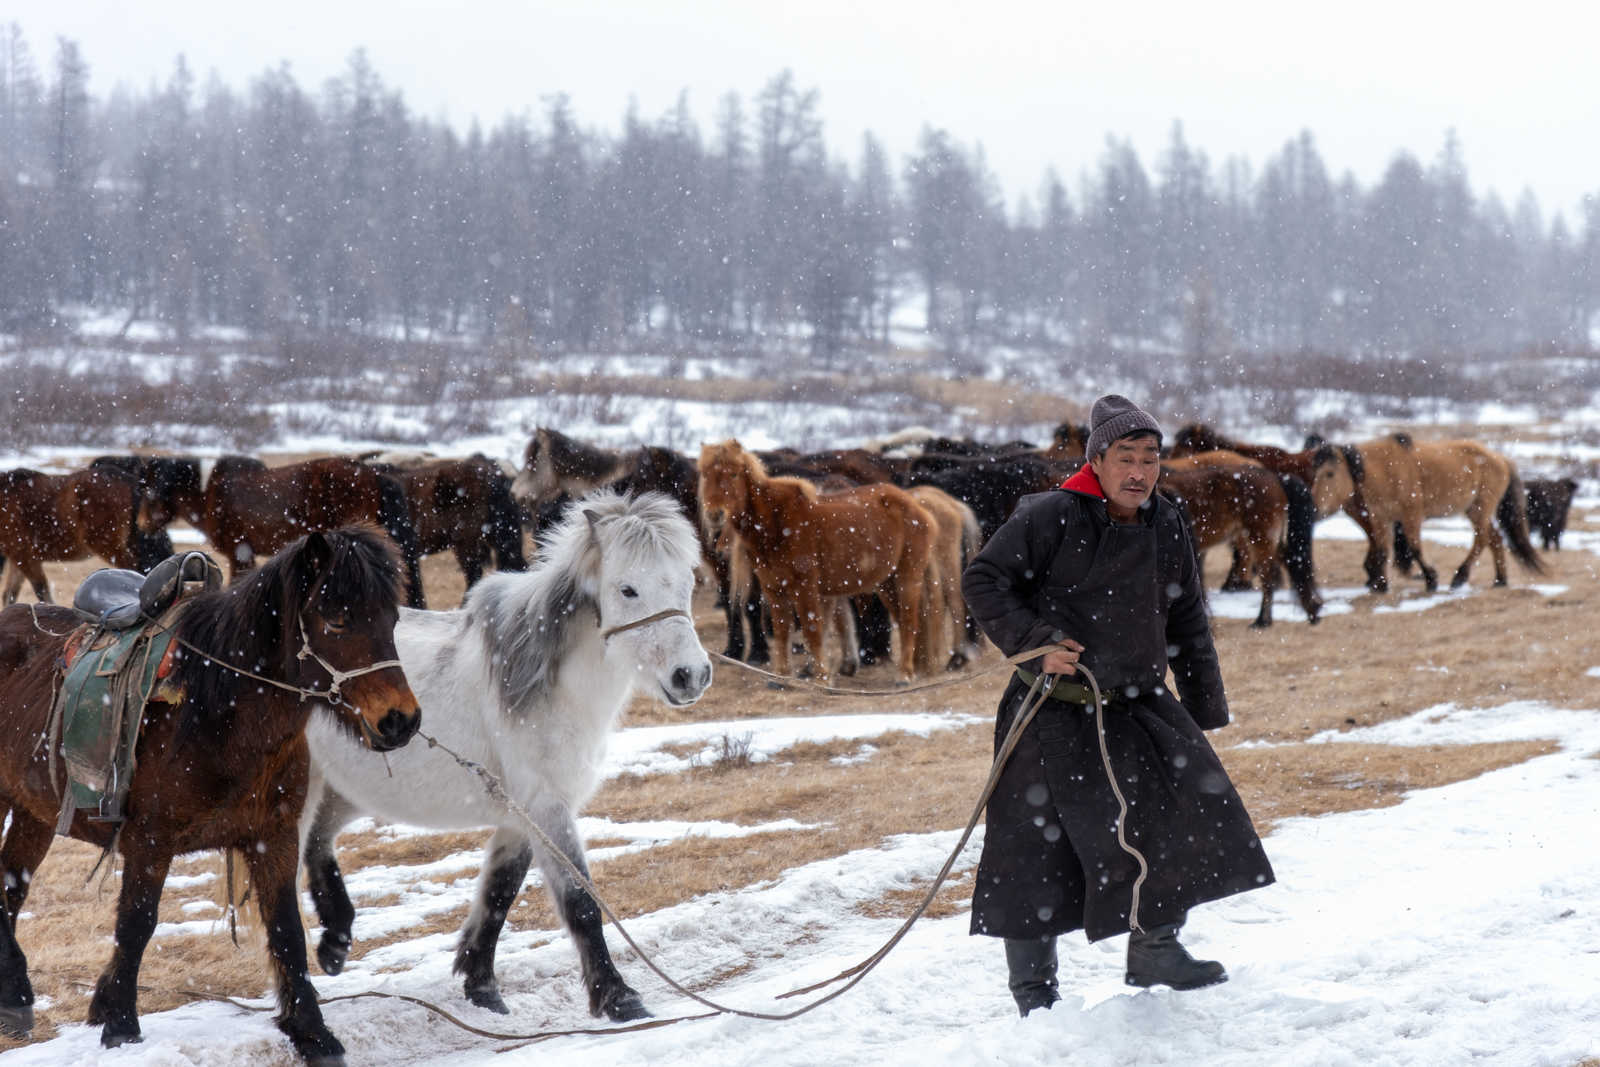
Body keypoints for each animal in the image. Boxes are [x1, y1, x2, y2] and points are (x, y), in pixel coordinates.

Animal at [0, 526, 422, 1062]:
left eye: (391, 618)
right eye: (337, 619)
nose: (400, 720)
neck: (217, 711)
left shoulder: (273, 837)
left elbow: (286, 929)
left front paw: (312, 1032)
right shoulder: (150, 842)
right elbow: (137, 924)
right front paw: (121, 1025)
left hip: (32, 812)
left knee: (11, 885)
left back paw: (12, 995)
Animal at [299, 491, 711, 1021]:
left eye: (687, 583)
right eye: (628, 590)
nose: (691, 676)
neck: (547, 685)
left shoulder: (524, 815)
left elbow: (499, 892)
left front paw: (482, 987)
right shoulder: (545, 805)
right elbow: (580, 900)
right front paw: (619, 998)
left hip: (346, 791)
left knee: (318, 843)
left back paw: (335, 943)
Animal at [698, 439, 934, 683]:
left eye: (734, 474)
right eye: (705, 474)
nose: (715, 514)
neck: (776, 523)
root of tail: (918, 507)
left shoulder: (805, 588)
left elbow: (812, 630)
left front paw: (821, 676)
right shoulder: (773, 588)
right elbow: (782, 631)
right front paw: (781, 677)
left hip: (907, 576)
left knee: (909, 619)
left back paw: (905, 674)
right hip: (885, 583)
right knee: (901, 618)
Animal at [1159, 451, 1323, 627]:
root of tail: (1275, 477)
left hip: (1261, 539)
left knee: (1269, 576)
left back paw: (1262, 620)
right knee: (1291, 562)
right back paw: (1312, 611)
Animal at [1307, 433, 1544, 592]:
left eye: (1329, 473)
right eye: (1314, 473)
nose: (1314, 508)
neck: (1386, 468)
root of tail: (1500, 458)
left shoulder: (1411, 515)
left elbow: (1414, 547)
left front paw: (1431, 579)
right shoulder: (1380, 518)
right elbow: (1382, 549)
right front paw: (1380, 584)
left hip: (1481, 508)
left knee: (1483, 538)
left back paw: (1460, 577)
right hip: (1474, 510)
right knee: (1494, 538)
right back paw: (1500, 580)